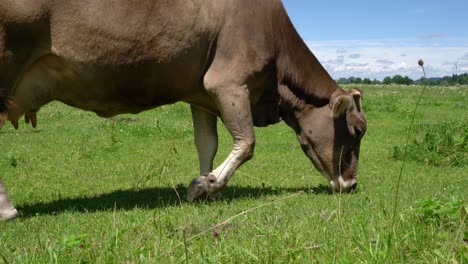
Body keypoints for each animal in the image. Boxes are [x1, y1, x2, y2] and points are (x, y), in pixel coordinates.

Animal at [0, 0, 366, 220]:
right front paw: (204, 186)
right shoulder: (229, 82)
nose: (351, 185)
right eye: (358, 130)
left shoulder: (201, 93)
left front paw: (210, 186)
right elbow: (246, 143)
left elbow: (208, 143)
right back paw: (7, 209)